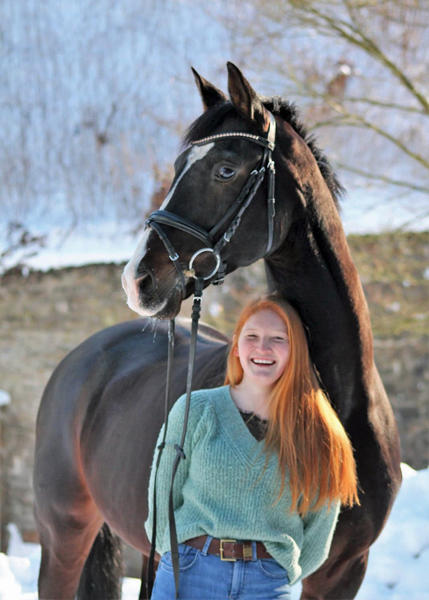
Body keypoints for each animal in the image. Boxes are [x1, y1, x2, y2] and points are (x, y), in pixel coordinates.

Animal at [33, 63, 402, 596]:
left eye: (225, 169)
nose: (136, 279)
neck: (341, 401)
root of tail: (84, 357)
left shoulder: (344, 571)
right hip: (64, 531)